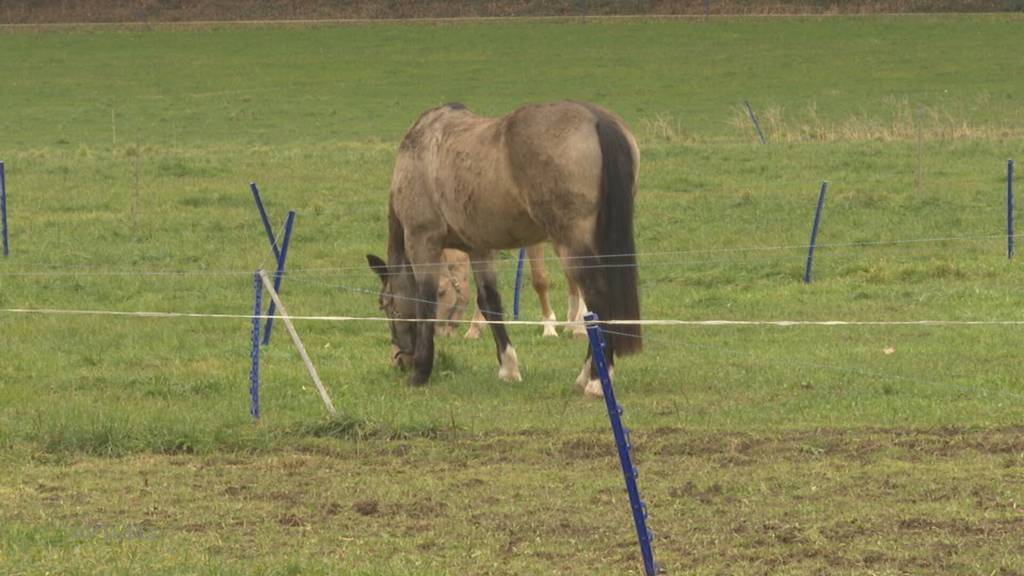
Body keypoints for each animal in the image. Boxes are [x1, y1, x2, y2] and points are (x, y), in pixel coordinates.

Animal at [368, 100, 638, 393]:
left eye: (385, 305)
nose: (401, 360)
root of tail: (596, 119)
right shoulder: (479, 249)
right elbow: (490, 302)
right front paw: (508, 367)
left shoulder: (422, 241)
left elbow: (424, 304)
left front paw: (420, 372)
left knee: (597, 297)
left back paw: (596, 379)